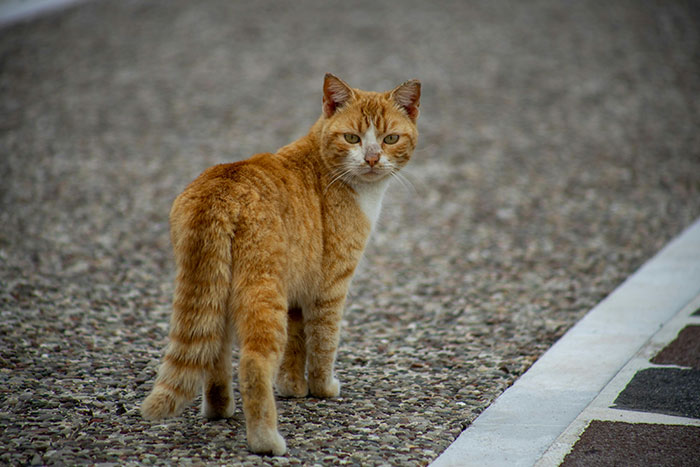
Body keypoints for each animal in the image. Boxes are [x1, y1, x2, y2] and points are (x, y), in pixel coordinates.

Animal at [139, 74, 418, 458]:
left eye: (390, 139)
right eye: (352, 138)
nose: (373, 158)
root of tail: (220, 188)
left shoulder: (297, 291)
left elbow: (297, 345)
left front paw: (292, 387)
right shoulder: (330, 288)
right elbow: (323, 343)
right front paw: (322, 388)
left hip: (216, 291)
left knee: (214, 350)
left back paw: (219, 409)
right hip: (263, 290)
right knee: (253, 364)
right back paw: (266, 441)